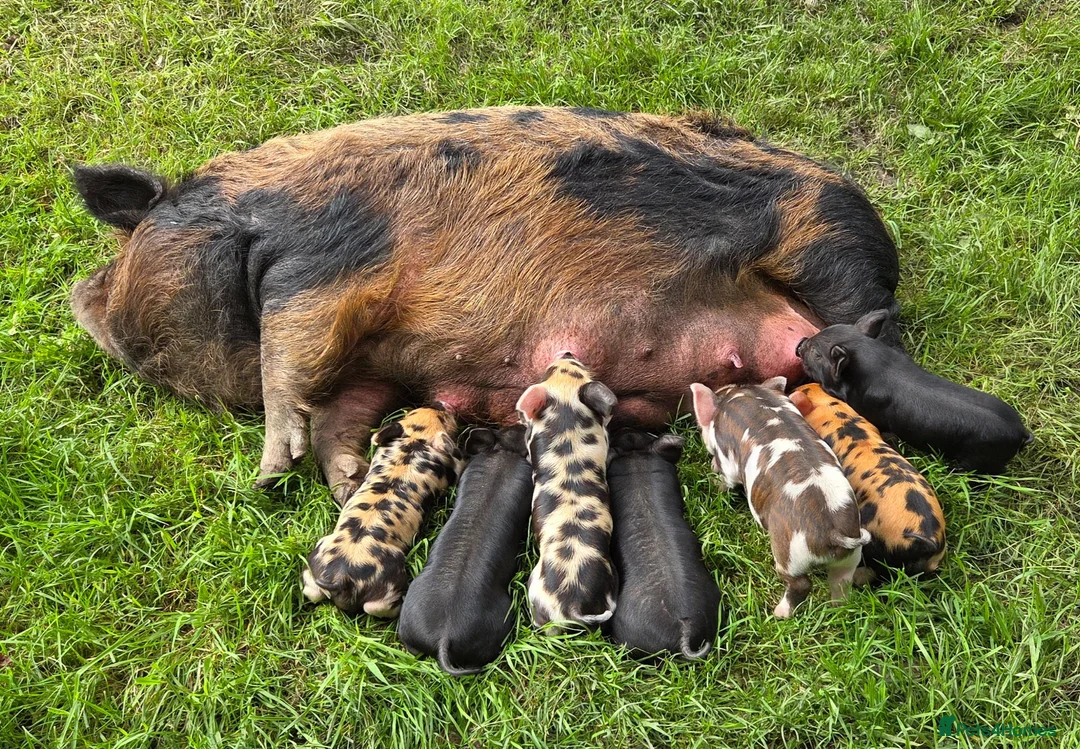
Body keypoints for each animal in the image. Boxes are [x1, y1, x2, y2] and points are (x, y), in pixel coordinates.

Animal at [69, 106, 902, 501]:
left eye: (130, 236)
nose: (80, 295)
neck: (250, 227)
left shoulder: (321, 272)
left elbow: (286, 365)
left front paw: (271, 472)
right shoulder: (371, 357)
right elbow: (339, 409)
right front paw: (344, 482)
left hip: (828, 240)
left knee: (874, 330)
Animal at [302, 407, 463, 617]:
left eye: (412, 412)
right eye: (443, 418)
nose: (441, 405)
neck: (414, 441)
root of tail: (341, 577)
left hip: (317, 558)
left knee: (310, 589)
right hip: (390, 573)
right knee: (376, 606)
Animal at [691, 378, 870, 617]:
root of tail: (833, 531)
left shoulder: (727, 460)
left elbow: (727, 479)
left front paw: (714, 480)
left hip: (789, 554)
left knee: (800, 584)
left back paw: (779, 613)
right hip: (850, 557)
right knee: (842, 582)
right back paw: (837, 608)